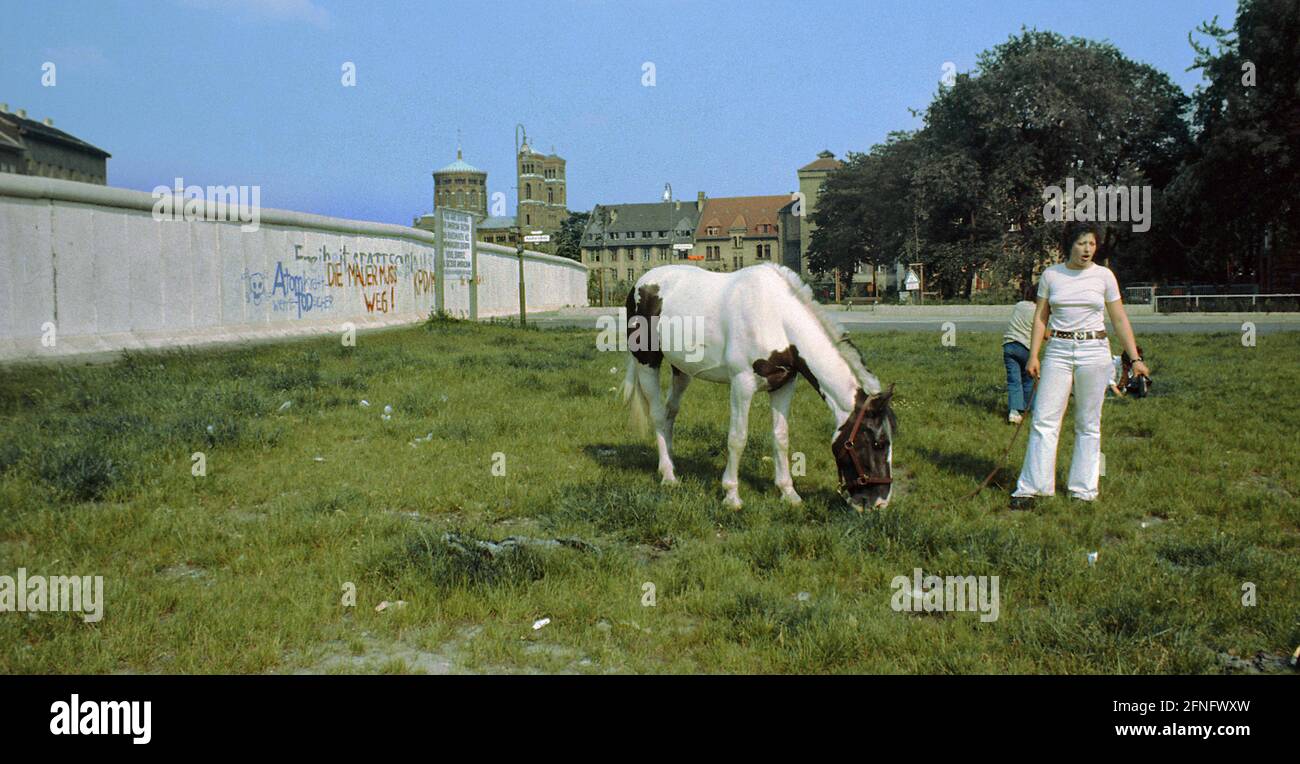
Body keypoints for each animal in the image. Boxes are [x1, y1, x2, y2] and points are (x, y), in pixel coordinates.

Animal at [620, 263, 896, 511]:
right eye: (878, 443)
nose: (879, 503)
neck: (777, 318)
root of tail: (641, 282)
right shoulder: (742, 384)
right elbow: (737, 437)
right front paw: (731, 495)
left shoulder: (784, 385)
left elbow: (781, 437)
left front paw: (789, 493)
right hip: (647, 362)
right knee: (657, 415)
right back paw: (668, 475)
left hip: (682, 371)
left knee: (670, 412)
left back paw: (670, 463)